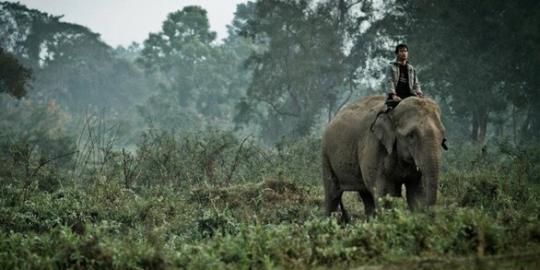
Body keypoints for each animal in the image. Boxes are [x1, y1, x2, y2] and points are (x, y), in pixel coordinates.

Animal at [320, 95, 448, 219]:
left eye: (442, 136)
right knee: (333, 193)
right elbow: (385, 194)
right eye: (411, 135)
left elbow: (417, 194)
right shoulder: (374, 146)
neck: (393, 112)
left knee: (366, 195)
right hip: (326, 155)